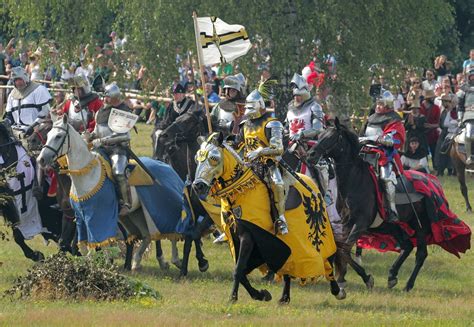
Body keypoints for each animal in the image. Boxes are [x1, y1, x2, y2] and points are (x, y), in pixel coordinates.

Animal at [36, 115, 181, 272]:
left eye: (58, 136)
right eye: (48, 135)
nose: (41, 159)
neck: (86, 175)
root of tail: (166, 166)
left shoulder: (99, 218)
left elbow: (102, 244)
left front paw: (105, 265)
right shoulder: (79, 218)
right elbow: (81, 246)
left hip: (162, 210)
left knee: (171, 233)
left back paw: (173, 260)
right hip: (135, 213)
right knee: (147, 235)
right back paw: (136, 262)